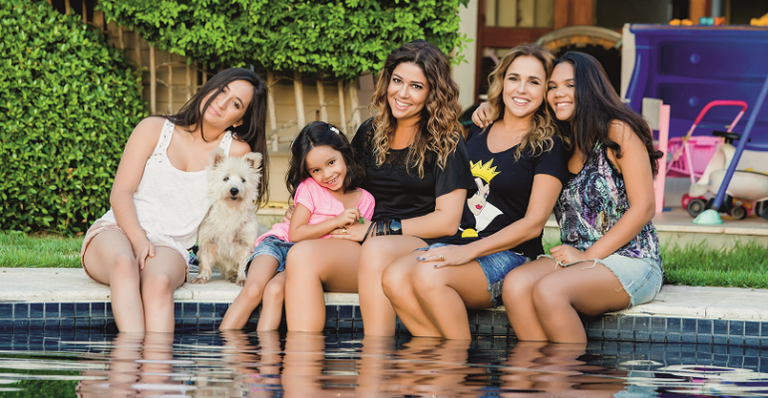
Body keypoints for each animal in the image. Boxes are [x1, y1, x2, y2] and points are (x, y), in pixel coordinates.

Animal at [190, 148, 262, 284]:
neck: (231, 209)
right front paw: (201, 277)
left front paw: (242, 278)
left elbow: (243, 263)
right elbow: (206, 260)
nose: (234, 190)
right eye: (225, 178)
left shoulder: (245, 242)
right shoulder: (209, 240)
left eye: (243, 180)